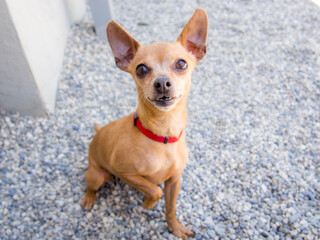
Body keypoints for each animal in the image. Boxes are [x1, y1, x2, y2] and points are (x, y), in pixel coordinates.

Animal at [80, 8, 208, 239]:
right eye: (141, 69)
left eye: (181, 64)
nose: (162, 82)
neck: (162, 134)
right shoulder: (124, 172)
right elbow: (154, 190)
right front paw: (147, 204)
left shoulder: (174, 181)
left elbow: (170, 207)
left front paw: (175, 228)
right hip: (97, 174)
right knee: (91, 185)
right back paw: (88, 198)